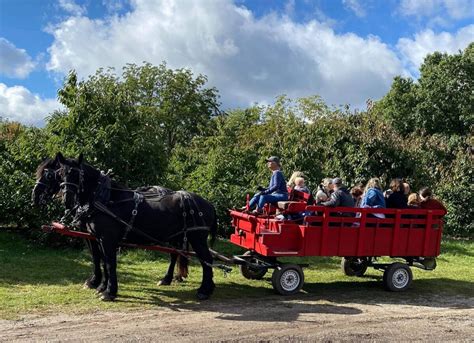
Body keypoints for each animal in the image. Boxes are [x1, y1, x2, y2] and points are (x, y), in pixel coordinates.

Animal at [55, 153, 217, 300]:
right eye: (61, 173)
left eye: (77, 174)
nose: (66, 199)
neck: (106, 199)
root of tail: (209, 204)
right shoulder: (98, 238)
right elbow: (102, 261)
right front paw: (102, 287)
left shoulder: (107, 239)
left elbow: (109, 263)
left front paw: (109, 292)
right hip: (178, 236)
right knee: (176, 255)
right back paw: (170, 280)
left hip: (197, 238)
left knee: (206, 260)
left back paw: (204, 290)